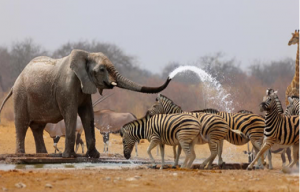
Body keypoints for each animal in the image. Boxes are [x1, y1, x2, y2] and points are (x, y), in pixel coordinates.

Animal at [0, 49, 171, 158]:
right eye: (102, 69)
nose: (170, 77)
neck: (86, 55)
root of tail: (16, 81)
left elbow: (88, 115)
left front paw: (94, 156)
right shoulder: (66, 87)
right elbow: (70, 114)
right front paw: (68, 156)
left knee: (38, 127)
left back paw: (43, 154)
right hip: (21, 95)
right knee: (22, 123)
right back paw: (21, 154)